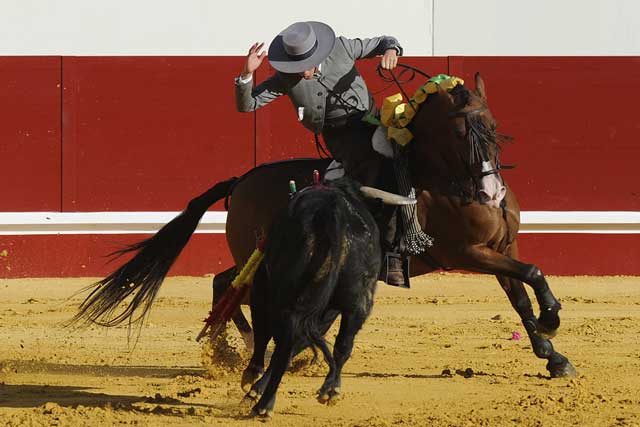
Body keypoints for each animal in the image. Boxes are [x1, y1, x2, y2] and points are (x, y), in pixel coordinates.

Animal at [74, 72, 576, 378]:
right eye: (458, 133)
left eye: (493, 126)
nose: (491, 193)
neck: (441, 177)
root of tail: (242, 180)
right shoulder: (468, 253)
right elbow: (533, 276)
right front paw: (553, 321)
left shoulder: (502, 249)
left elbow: (520, 298)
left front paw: (553, 356)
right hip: (266, 258)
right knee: (231, 288)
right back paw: (249, 348)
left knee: (222, 282)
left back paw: (239, 349)